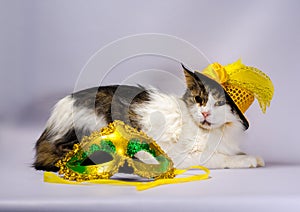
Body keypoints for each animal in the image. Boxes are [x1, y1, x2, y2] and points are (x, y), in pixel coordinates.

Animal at [32, 64, 264, 171]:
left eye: (219, 103)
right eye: (199, 99)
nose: (205, 113)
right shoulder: (184, 154)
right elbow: (222, 158)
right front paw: (248, 159)